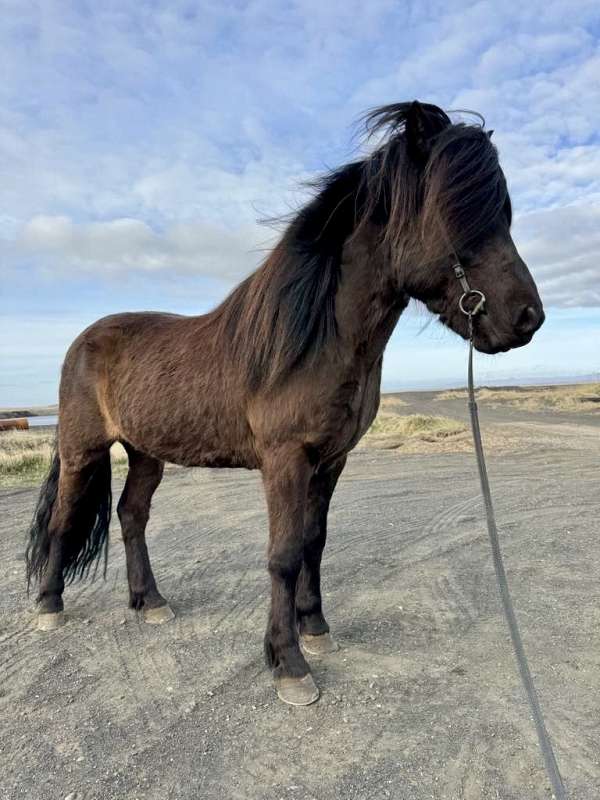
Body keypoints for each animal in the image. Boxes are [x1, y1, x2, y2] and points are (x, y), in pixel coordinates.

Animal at [25, 101, 544, 705]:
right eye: (457, 209)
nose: (528, 317)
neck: (314, 339)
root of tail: (83, 339)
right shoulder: (284, 459)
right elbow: (284, 554)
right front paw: (289, 664)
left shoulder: (332, 459)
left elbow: (314, 543)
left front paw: (315, 629)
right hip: (82, 449)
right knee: (63, 520)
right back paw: (49, 605)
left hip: (146, 453)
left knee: (131, 515)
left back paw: (150, 602)